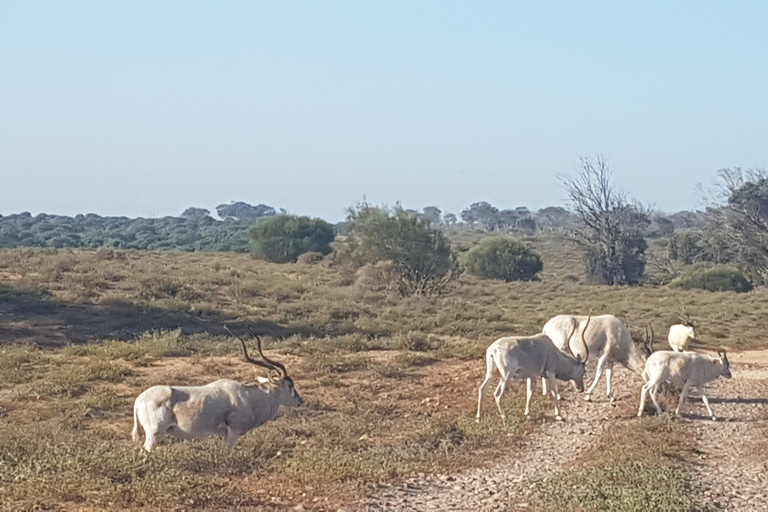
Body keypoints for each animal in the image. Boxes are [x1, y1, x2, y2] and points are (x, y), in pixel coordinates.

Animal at [132, 328, 304, 452]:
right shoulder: (233, 433)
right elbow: (227, 453)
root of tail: (139, 401)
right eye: (289, 384)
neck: (249, 397)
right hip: (154, 433)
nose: (300, 401)